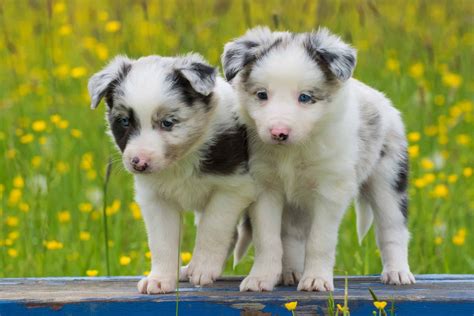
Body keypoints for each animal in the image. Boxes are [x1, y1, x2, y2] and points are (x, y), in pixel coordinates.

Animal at [88, 53, 256, 294]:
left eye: (167, 123)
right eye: (125, 121)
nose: (139, 163)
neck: (181, 160)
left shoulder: (234, 188)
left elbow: (213, 228)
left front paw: (203, 268)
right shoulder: (156, 198)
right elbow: (162, 241)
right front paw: (160, 280)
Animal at [222, 26, 414, 292]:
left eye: (305, 97)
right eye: (262, 95)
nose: (279, 133)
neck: (291, 153)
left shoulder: (330, 190)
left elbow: (319, 241)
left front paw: (315, 280)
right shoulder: (264, 187)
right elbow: (268, 239)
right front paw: (260, 279)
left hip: (388, 178)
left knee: (393, 228)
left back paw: (398, 272)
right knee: (292, 235)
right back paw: (291, 272)